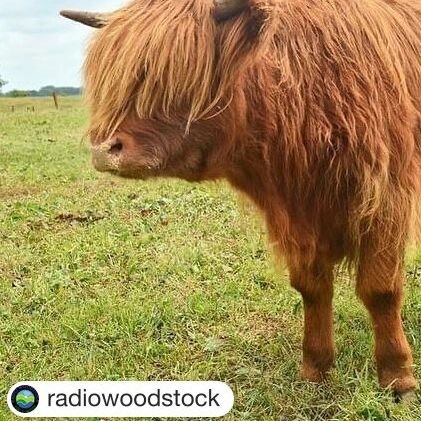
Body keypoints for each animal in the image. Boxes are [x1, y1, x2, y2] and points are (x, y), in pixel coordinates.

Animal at [61, 0, 420, 398]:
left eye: (176, 75)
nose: (103, 150)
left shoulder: (385, 197)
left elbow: (380, 290)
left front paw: (397, 378)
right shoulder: (294, 215)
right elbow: (311, 288)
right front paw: (315, 369)